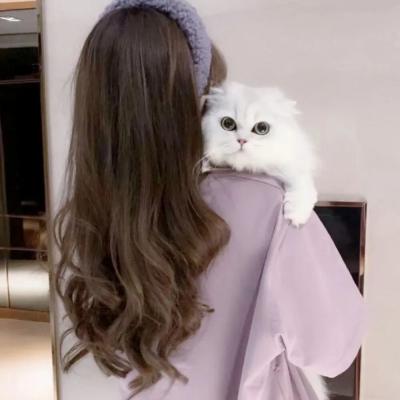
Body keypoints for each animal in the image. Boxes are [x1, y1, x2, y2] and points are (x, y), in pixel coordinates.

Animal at [201, 80, 319, 228]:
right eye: (227, 123)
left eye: (262, 128)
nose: (242, 140)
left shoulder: (293, 161)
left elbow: (302, 183)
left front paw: (296, 215)